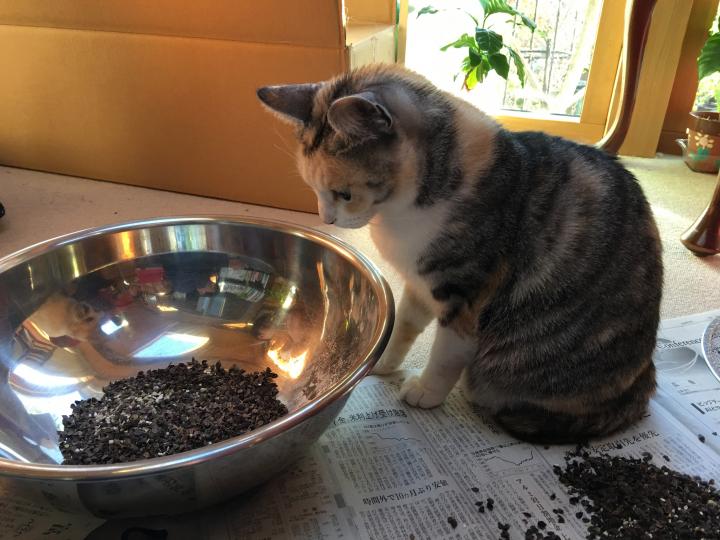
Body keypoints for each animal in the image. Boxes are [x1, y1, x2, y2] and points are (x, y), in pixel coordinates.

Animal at [257, 64, 663, 444]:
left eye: (344, 193)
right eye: (312, 188)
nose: (326, 218)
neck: (400, 214)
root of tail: (642, 383)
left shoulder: (465, 296)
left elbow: (445, 354)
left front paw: (426, 391)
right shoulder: (418, 283)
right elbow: (403, 327)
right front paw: (384, 361)